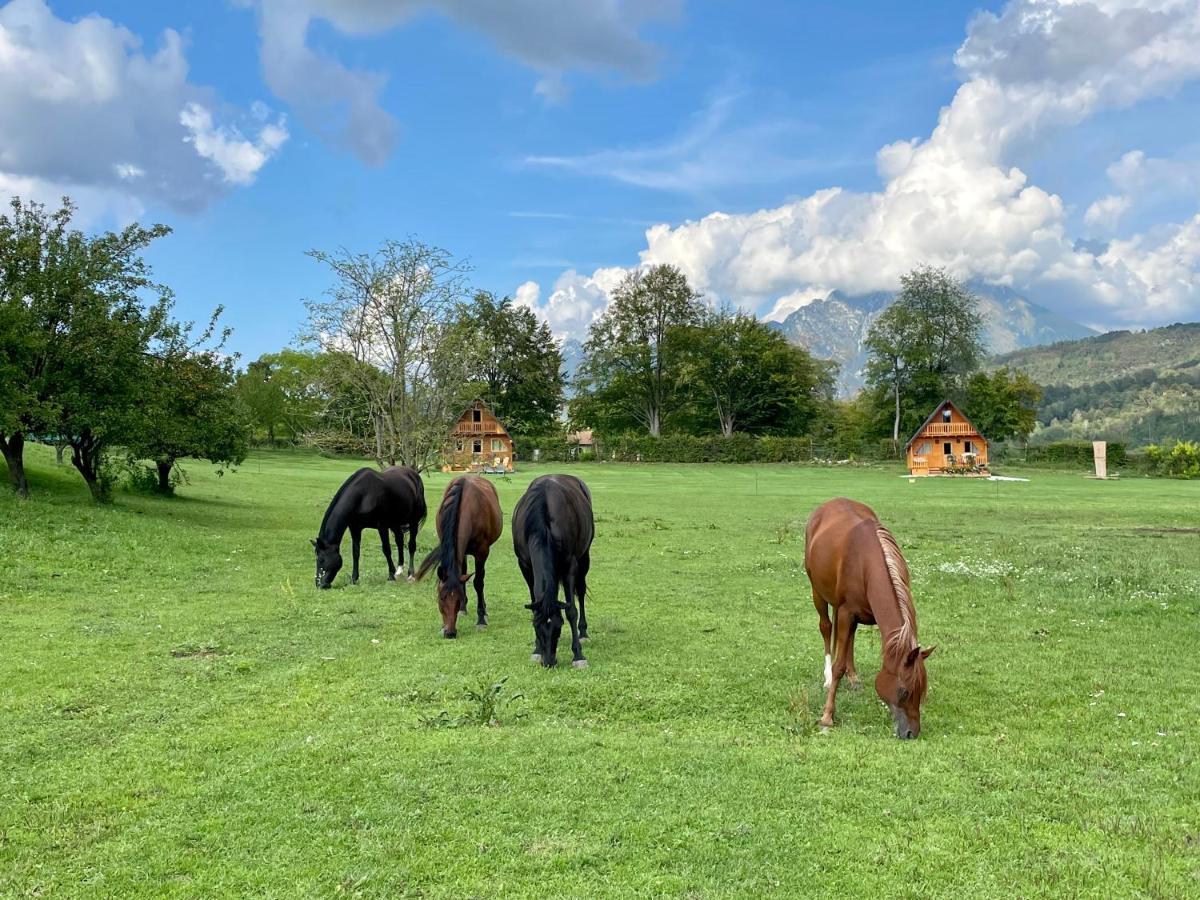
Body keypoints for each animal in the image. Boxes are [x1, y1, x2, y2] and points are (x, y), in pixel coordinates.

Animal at [417, 475, 501, 638]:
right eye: (441, 598)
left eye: (458, 598)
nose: (450, 633)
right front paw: (461, 609)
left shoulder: (482, 552)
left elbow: (478, 582)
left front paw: (481, 619)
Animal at [511, 475, 595, 667]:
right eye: (537, 626)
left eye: (558, 626)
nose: (549, 661)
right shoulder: (524, 565)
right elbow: (534, 606)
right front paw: (536, 650)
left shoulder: (570, 564)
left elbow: (571, 610)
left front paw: (578, 655)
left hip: (584, 557)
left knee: (580, 592)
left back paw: (583, 633)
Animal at [806, 501, 936, 739]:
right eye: (904, 692)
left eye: (921, 692)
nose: (911, 733)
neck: (866, 563)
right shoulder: (846, 611)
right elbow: (838, 664)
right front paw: (827, 716)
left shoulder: (853, 613)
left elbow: (849, 643)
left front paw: (851, 677)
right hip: (817, 592)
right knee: (826, 627)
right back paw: (827, 677)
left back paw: (853, 677)